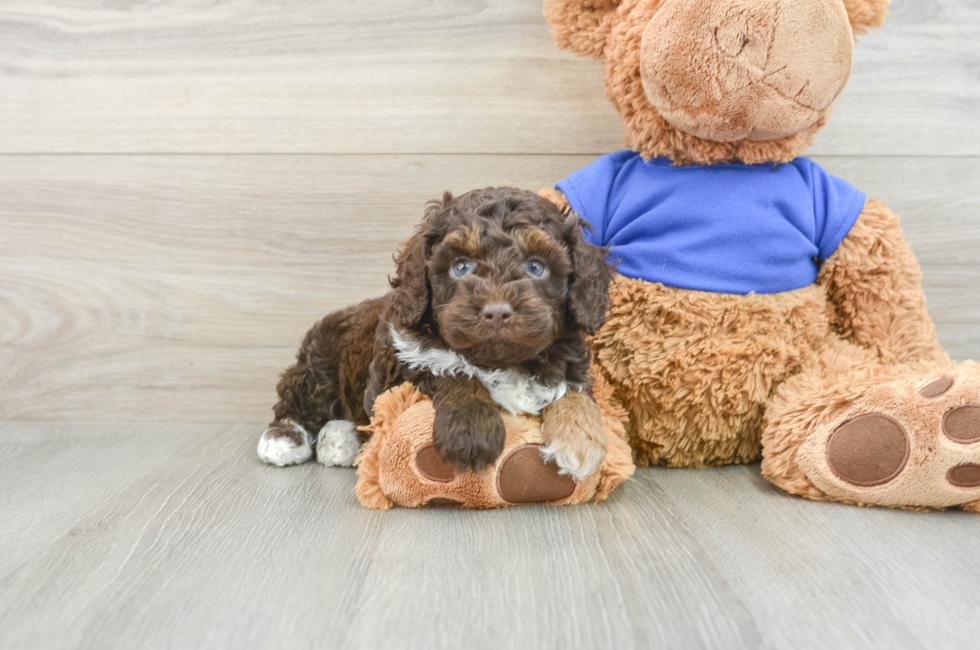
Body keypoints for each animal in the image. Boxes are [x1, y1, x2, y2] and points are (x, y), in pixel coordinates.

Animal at [258, 186, 612, 476]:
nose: (497, 311)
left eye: (536, 267)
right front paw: (471, 433)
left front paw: (581, 441)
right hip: (320, 364)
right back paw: (283, 440)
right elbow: (449, 370)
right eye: (461, 266)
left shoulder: (569, 360)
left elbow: (575, 391)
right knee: (294, 401)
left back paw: (340, 440)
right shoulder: (400, 364)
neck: (498, 362)